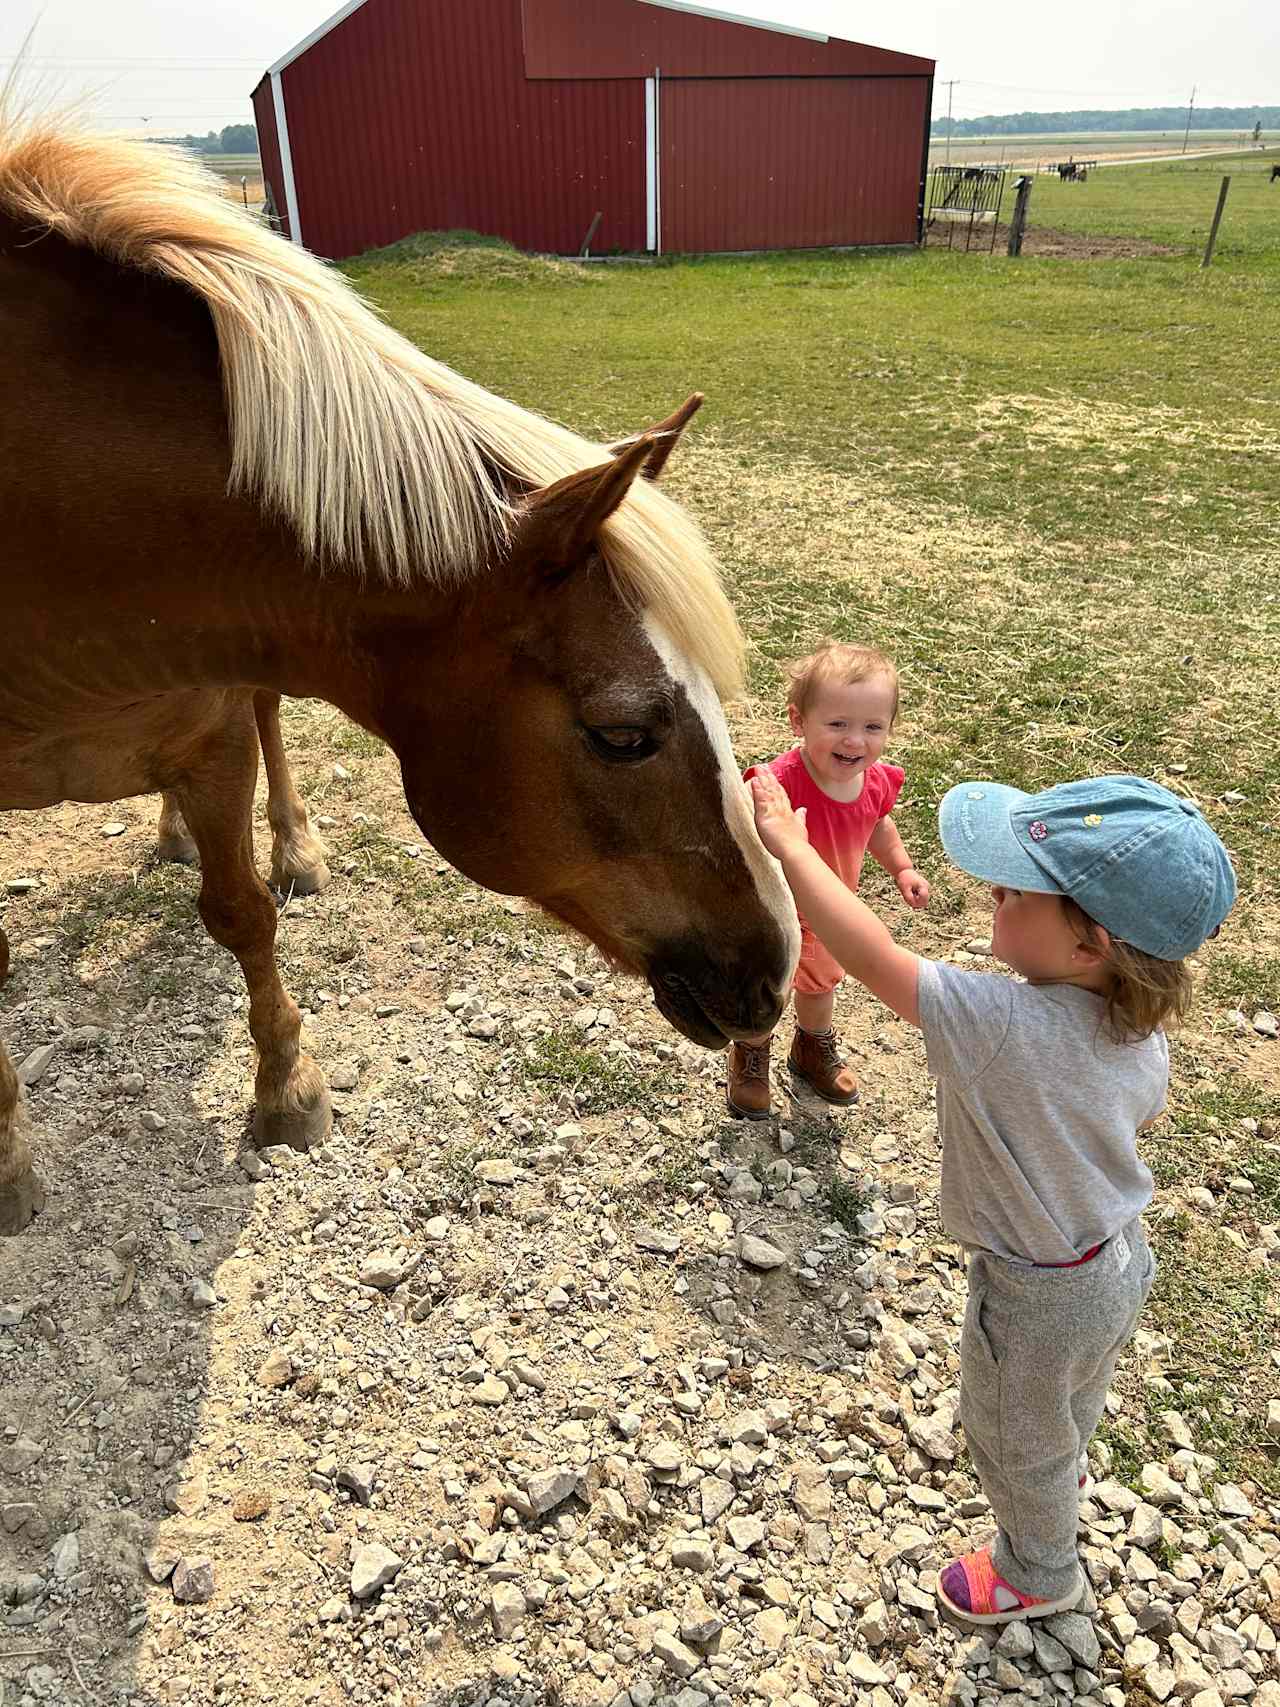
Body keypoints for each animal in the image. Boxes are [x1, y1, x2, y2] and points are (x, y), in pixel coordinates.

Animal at [0, 113, 802, 1235]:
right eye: (622, 734)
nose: (776, 963)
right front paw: (10, 1158)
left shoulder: (212, 732)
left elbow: (242, 910)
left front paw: (287, 1089)